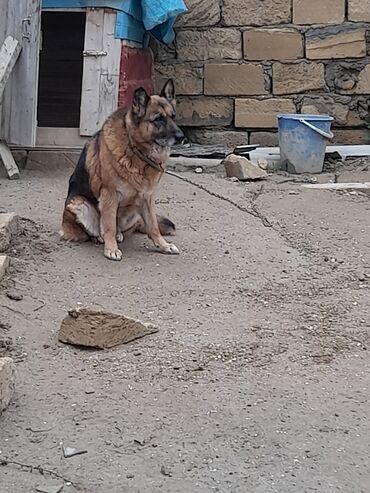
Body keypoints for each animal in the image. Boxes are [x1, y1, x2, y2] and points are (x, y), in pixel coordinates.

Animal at [60, 78, 185, 260]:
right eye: (158, 119)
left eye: (173, 116)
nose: (182, 137)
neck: (136, 151)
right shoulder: (109, 195)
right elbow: (109, 226)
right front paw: (111, 248)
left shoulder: (147, 198)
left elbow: (153, 226)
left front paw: (163, 245)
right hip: (80, 204)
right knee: (97, 229)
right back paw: (101, 237)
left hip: (134, 209)